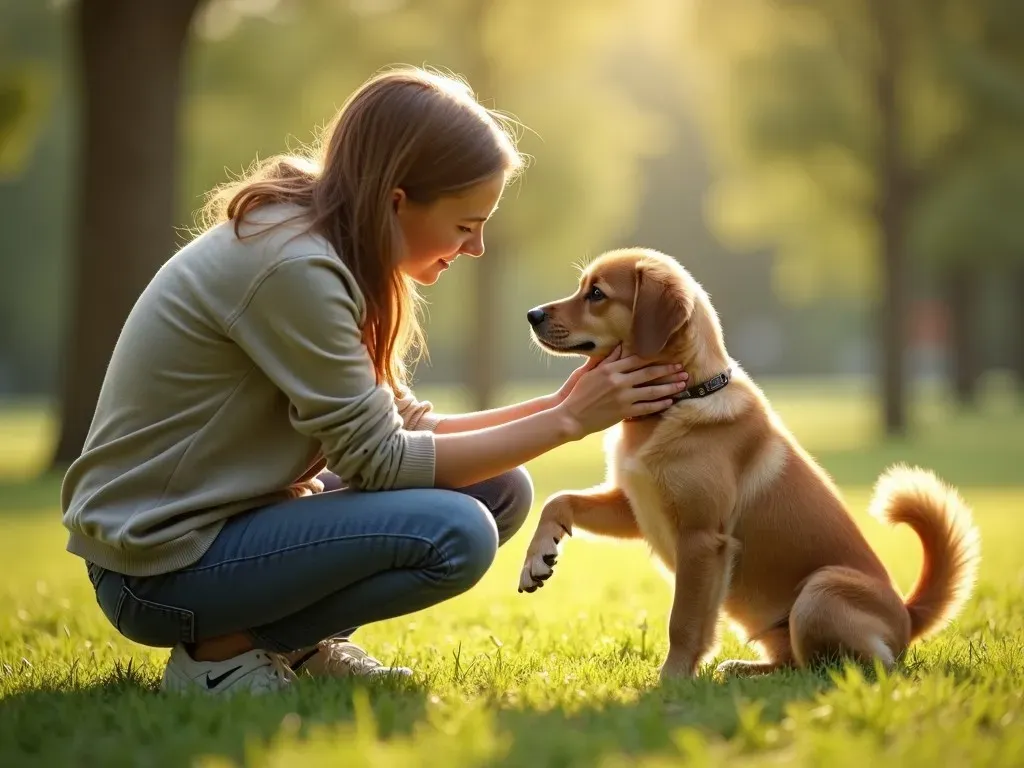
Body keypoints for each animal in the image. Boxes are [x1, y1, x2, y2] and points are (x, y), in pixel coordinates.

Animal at [524, 249, 978, 684]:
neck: (683, 398)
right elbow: (559, 500)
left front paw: (672, 680)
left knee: (856, 668)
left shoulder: (700, 539)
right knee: (797, 663)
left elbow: (683, 622)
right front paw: (538, 556)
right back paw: (742, 669)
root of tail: (907, 616)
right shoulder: (637, 508)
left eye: (596, 294)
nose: (532, 315)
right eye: (582, 287)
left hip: (820, 593)